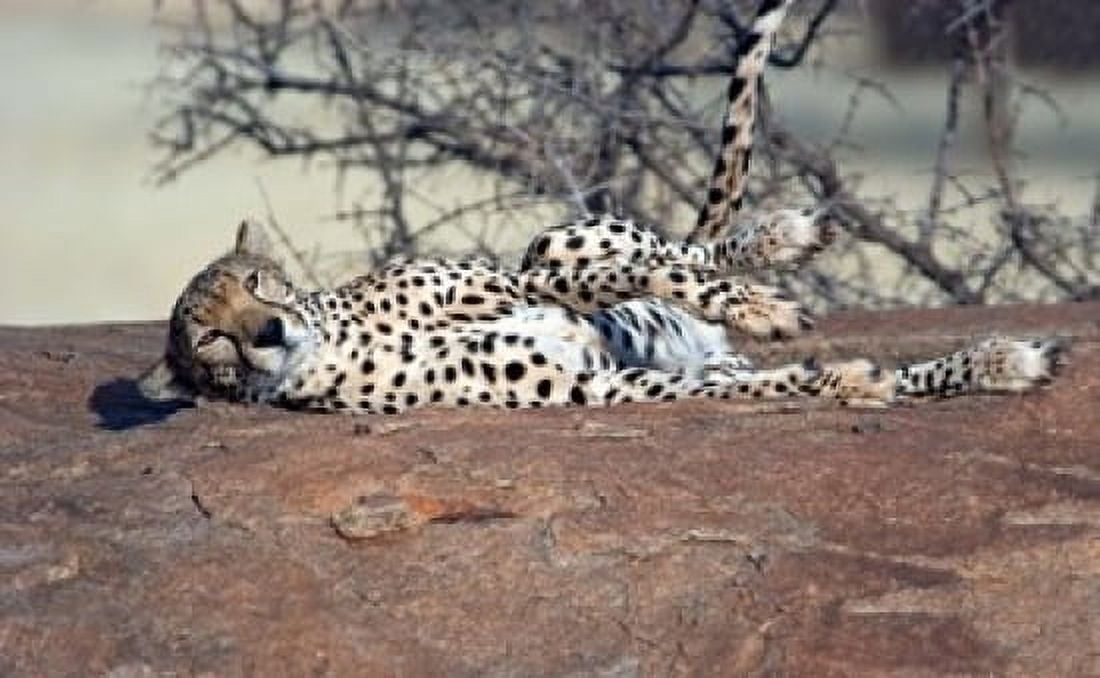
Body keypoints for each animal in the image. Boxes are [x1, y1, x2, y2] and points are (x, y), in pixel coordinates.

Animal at [139, 0, 1063, 414]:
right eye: (208, 341)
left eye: (257, 281)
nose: (267, 331)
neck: (337, 335)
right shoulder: (601, 385)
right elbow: (764, 384)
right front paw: (841, 376)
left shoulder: (520, 282)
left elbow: (632, 274)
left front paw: (766, 298)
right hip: (690, 355)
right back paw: (993, 363)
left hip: (555, 235)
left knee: (678, 250)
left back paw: (782, 244)